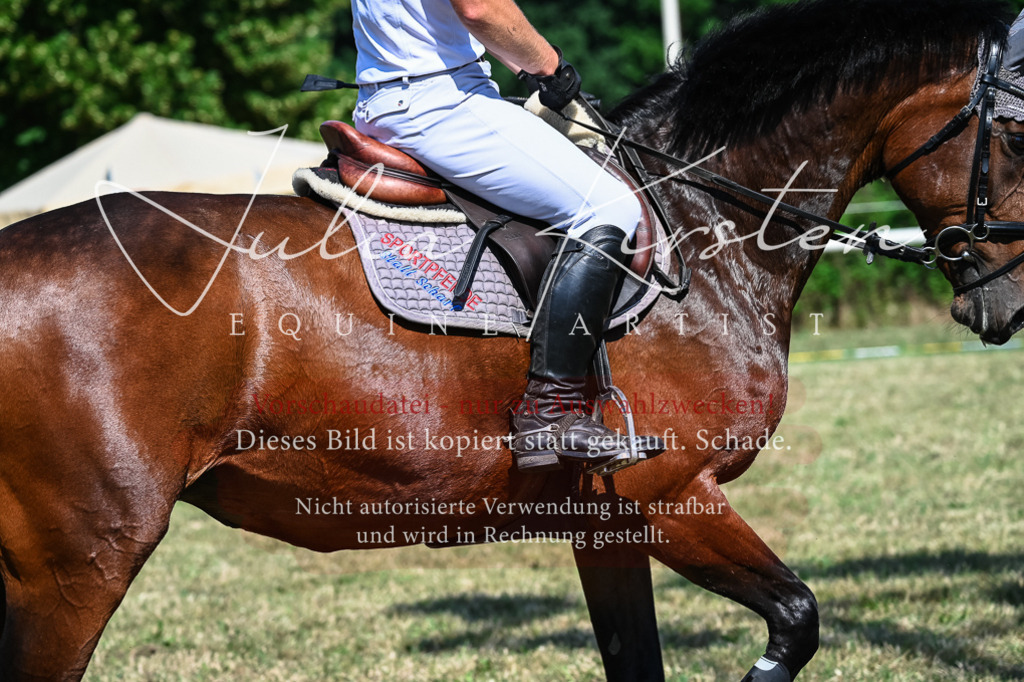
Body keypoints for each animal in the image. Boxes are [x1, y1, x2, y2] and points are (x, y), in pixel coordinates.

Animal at [3, 0, 1024, 679]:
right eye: (1015, 133)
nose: (1006, 304)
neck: (703, 226)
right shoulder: (671, 496)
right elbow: (798, 620)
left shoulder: (607, 521)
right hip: (79, 561)